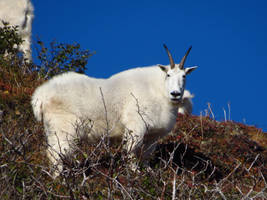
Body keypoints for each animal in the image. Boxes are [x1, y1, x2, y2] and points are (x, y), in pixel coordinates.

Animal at [31, 44, 199, 173]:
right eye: (168, 75)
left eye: (184, 76)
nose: (175, 94)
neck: (158, 90)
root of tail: (41, 95)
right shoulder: (136, 126)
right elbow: (131, 152)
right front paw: (135, 173)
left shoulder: (152, 136)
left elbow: (146, 156)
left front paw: (148, 173)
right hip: (64, 128)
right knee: (55, 155)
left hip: (52, 129)